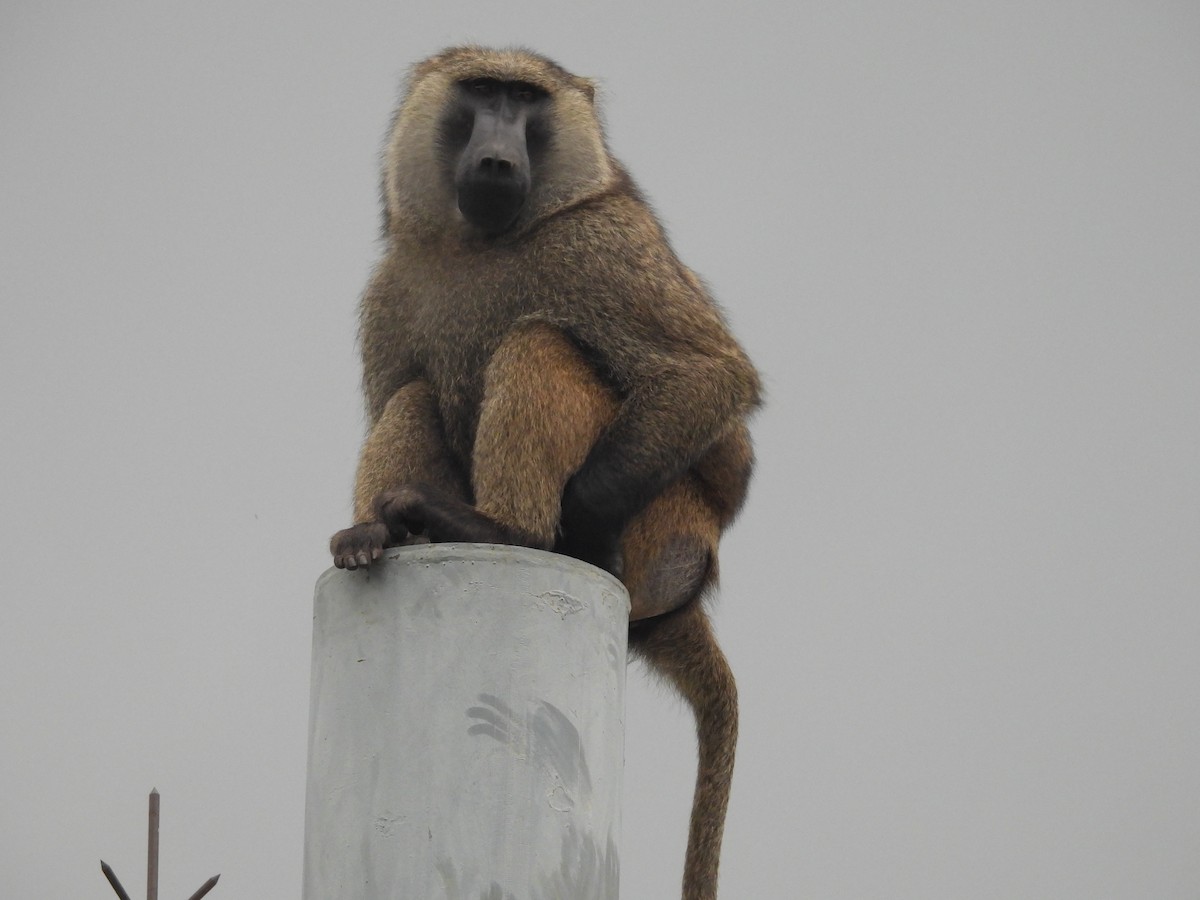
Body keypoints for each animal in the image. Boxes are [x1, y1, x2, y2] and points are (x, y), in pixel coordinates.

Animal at [329, 46, 761, 900]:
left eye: (524, 101)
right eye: (481, 93)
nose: (499, 152)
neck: (479, 244)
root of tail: (692, 582)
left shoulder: (602, 244)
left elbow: (708, 375)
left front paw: (576, 534)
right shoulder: (390, 290)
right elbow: (398, 389)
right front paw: (376, 527)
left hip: (665, 522)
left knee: (539, 341)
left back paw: (509, 529)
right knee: (413, 393)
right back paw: (379, 533)